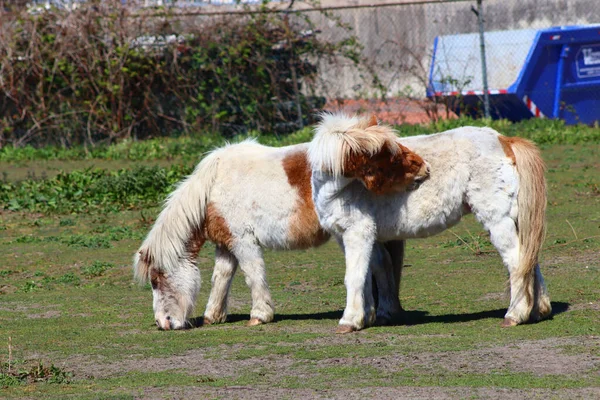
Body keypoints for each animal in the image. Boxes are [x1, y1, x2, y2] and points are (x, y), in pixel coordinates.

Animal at [310, 111, 552, 332]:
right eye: (387, 155)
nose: (424, 168)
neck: (340, 191)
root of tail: (504, 140)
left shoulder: (358, 234)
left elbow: (355, 276)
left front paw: (349, 321)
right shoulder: (351, 237)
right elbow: (374, 271)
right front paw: (367, 317)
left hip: (498, 221)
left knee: (516, 261)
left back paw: (515, 315)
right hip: (516, 219)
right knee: (530, 259)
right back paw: (538, 311)